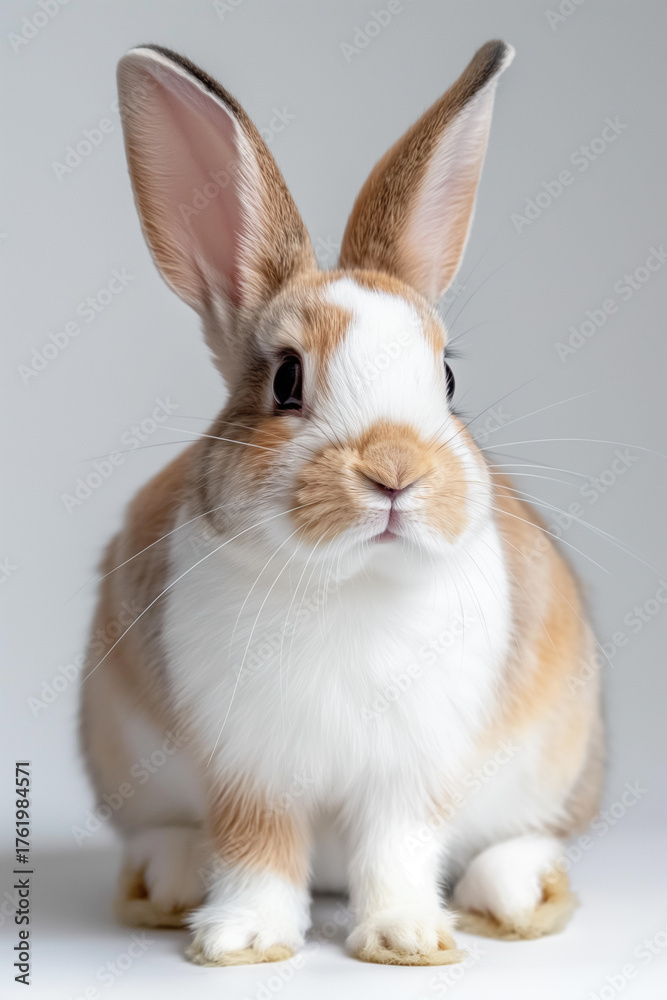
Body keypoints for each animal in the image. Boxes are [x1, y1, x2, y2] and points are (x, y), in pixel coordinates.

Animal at [79, 39, 604, 967]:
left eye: (447, 379)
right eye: (286, 381)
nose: (395, 470)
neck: (349, 582)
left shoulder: (413, 771)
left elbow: (398, 847)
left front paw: (406, 940)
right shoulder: (246, 765)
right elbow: (256, 847)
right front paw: (243, 940)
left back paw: (514, 896)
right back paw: (166, 881)